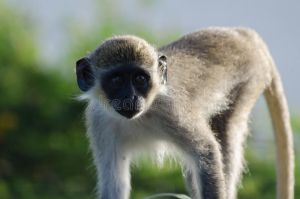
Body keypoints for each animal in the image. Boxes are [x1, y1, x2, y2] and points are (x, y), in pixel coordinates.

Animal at [75, 26, 296, 199]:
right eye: (116, 80)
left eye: (139, 79)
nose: (131, 98)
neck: (139, 117)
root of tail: (244, 34)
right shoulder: (98, 120)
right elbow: (114, 183)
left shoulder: (170, 109)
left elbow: (207, 151)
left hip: (250, 79)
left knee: (224, 132)